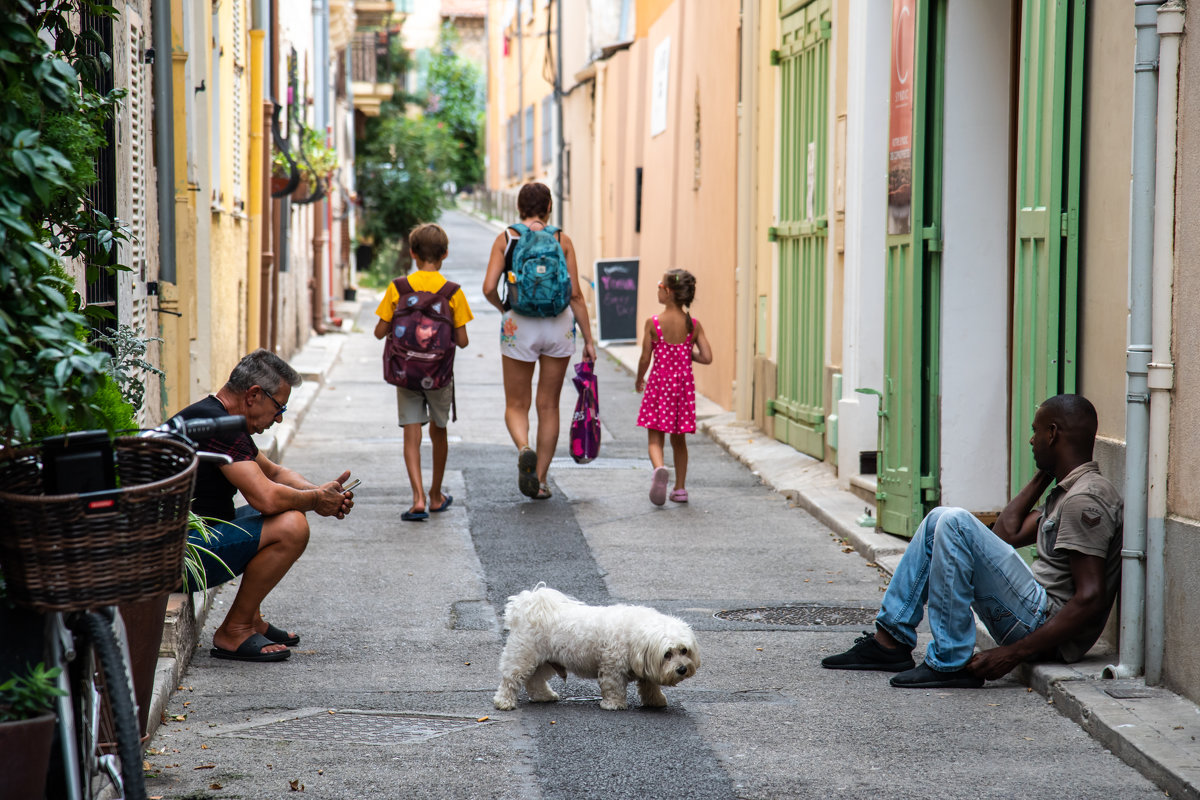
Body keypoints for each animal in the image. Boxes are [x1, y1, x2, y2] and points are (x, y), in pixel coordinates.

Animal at [489, 585, 700, 710]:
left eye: (684, 651)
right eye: (667, 654)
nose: (682, 669)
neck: (637, 635)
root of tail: (530, 607)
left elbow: (649, 685)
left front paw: (655, 700)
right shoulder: (612, 667)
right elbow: (614, 687)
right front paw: (613, 704)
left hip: (545, 661)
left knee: (535, 681)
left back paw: (544, 696)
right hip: (522, 656)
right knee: (511, 679)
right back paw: (504, 702)